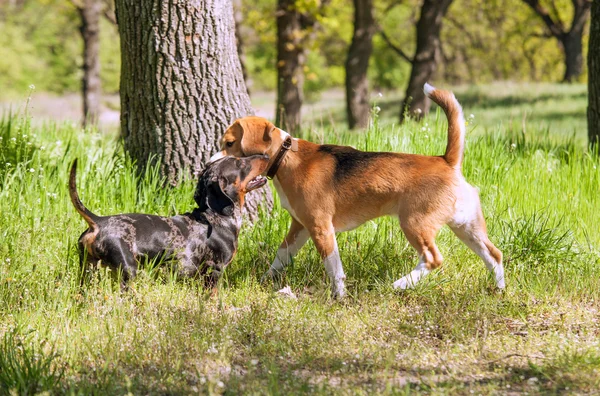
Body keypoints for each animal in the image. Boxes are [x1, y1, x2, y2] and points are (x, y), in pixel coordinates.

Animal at [69, 155, 268, 290]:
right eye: (240, 163)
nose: (266, 156)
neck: (215, 217)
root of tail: (99, 221)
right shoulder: (215, 270)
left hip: (87, 271)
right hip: (128, 270)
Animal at [211, 84, 506, 300]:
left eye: (229, 144)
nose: (209, 164)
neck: (286, 156)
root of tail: (446, 160)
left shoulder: (320, 228)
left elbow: (334, 268)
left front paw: (339, 297)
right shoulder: (300, 227)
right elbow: (281, 256)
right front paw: (264, 281)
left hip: (414, 223)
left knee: (433, 259)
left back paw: (401, 284)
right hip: (467, 227)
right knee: (494, 255)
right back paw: (500, 290)